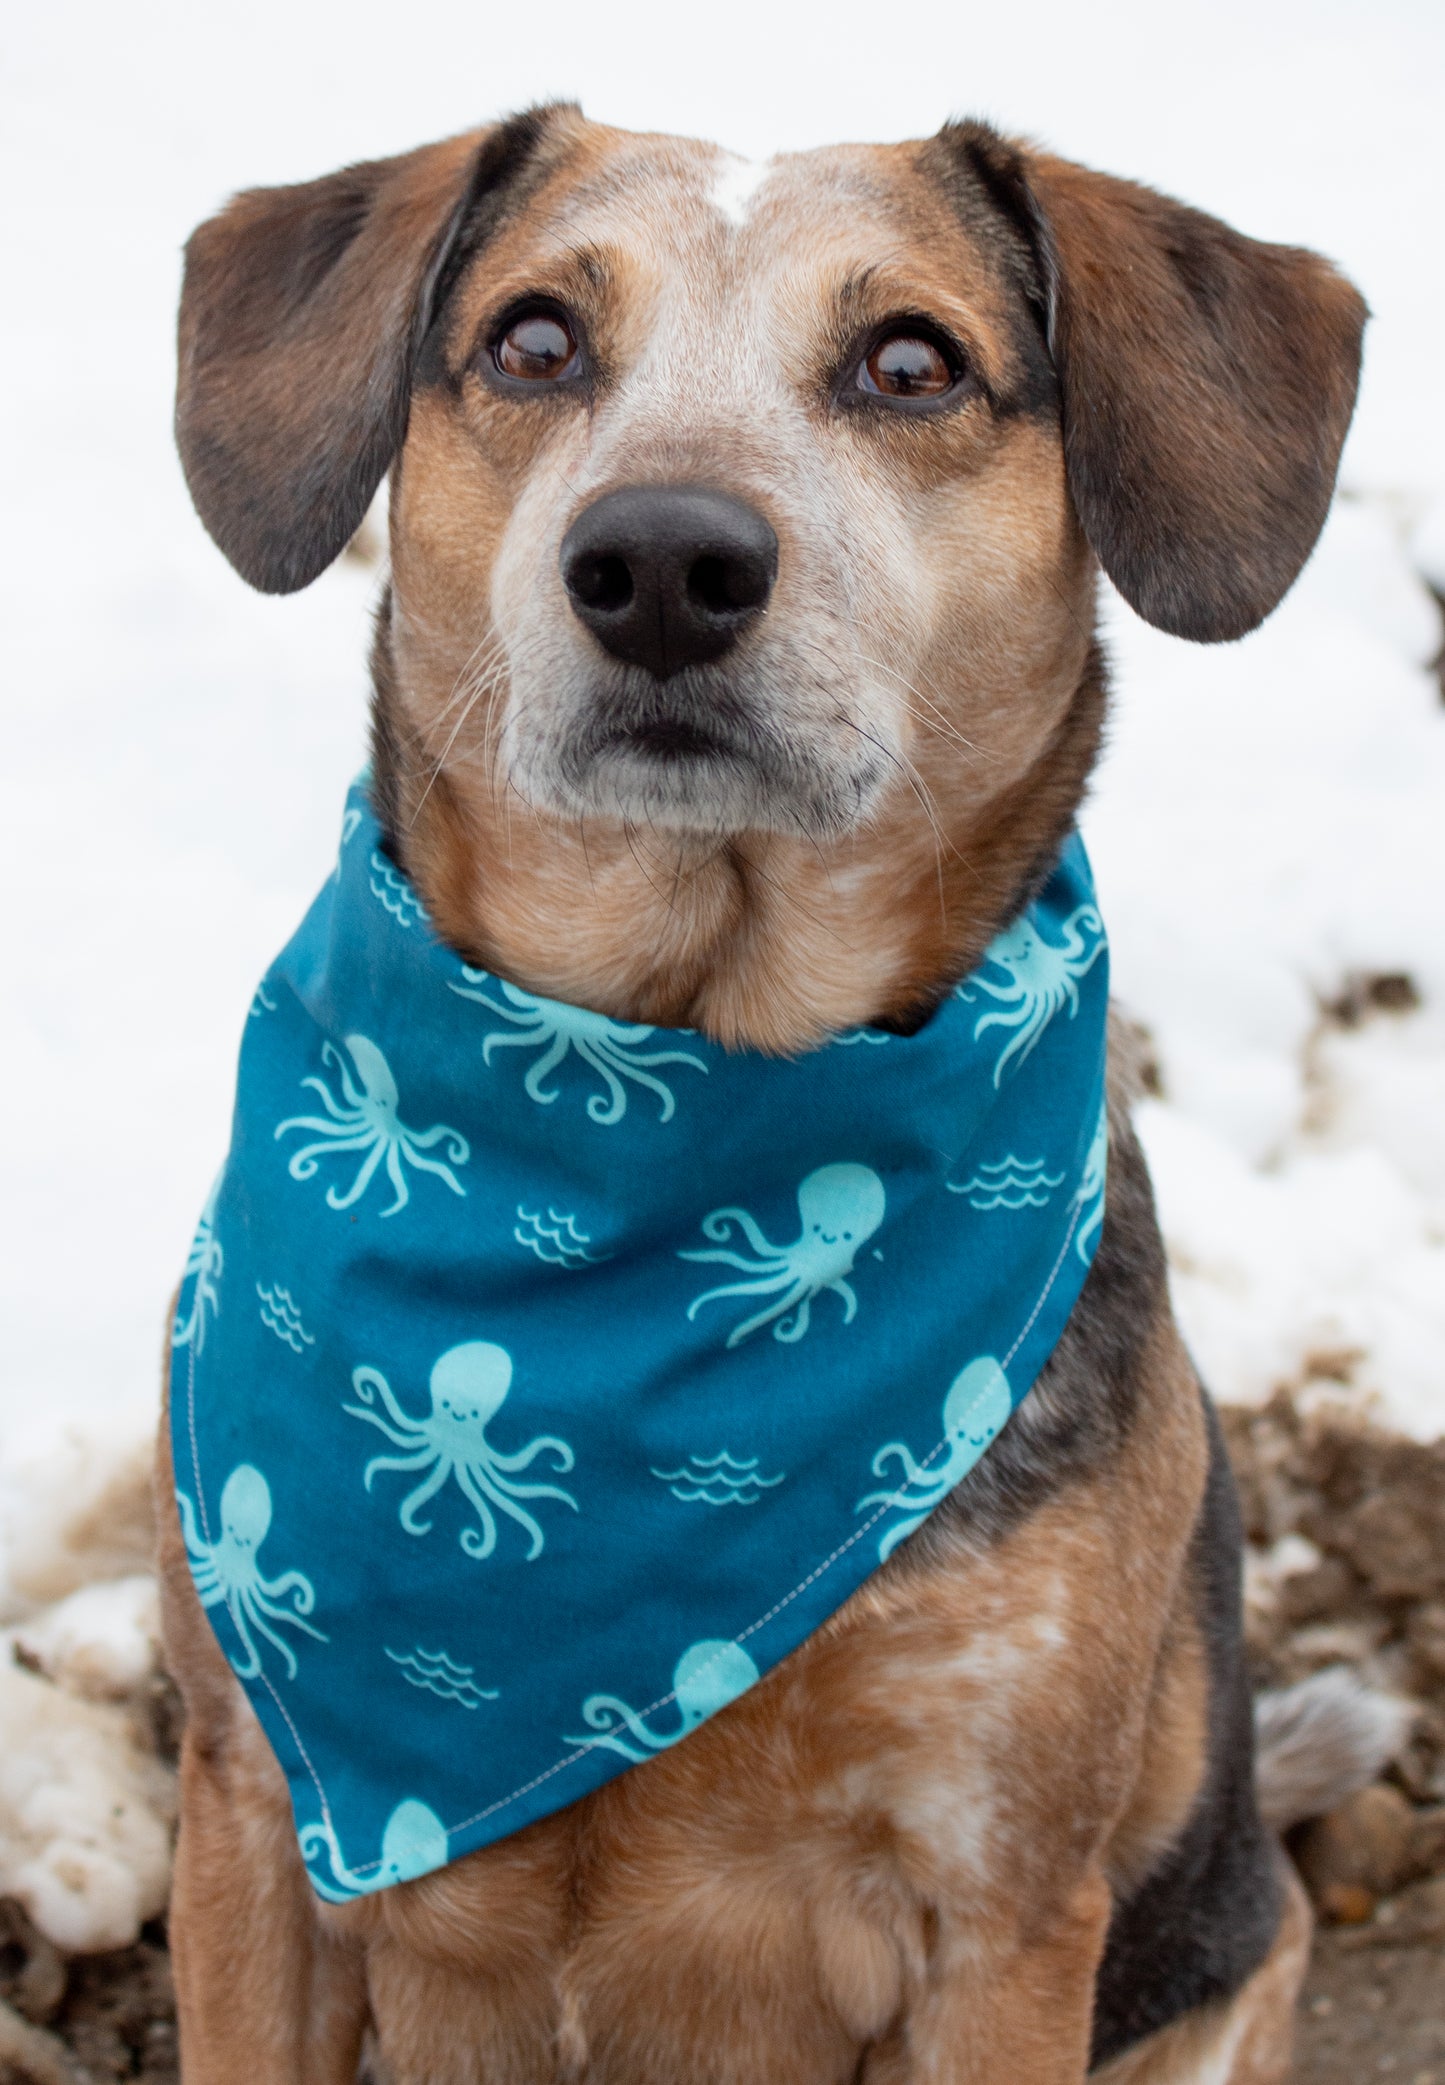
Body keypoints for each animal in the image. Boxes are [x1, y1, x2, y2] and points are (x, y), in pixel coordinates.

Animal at [157, 101, 1376, 2085]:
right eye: (533, 342)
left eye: (912, 363)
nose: (662, 558)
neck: (669, 1072)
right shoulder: (254, 1818)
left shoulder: (1001, 1914)